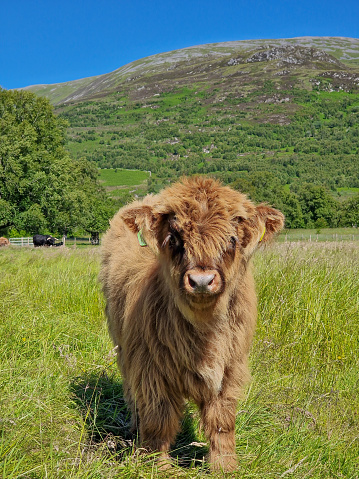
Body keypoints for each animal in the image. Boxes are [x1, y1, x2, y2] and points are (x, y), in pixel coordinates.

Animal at [100, 176, 286, 472]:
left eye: (232, 239)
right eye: (174, 238)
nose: (201, 281)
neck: (203, 333)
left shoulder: (230, 368)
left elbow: (222, 421)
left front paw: (225, 466)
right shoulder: (150, 370)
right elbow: (159, 419)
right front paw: (158, 465)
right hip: (121, 345)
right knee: (132, 393)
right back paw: (133, 427)